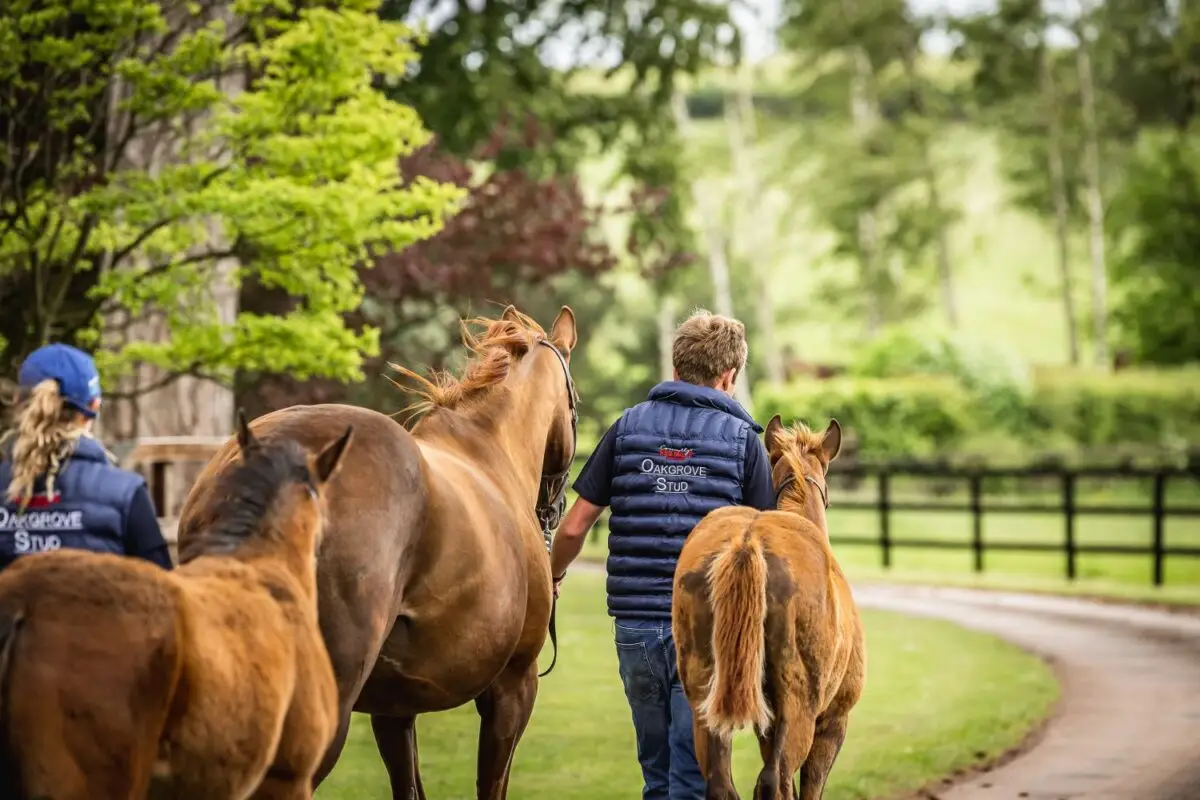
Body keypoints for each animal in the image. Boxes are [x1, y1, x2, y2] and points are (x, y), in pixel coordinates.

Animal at [672, 416, 866, 800]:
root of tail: (748, 541)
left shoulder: (767, 724)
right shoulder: (832, 722)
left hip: (704, 700)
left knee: (722, 782)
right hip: (800, 707)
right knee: (775, 779)